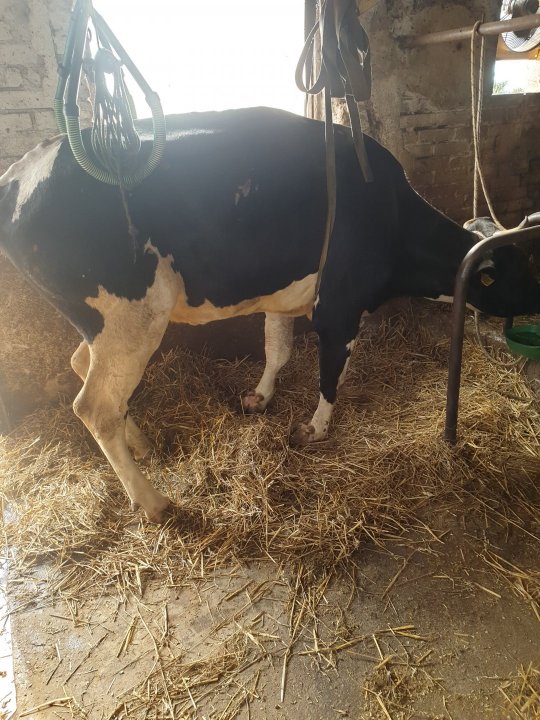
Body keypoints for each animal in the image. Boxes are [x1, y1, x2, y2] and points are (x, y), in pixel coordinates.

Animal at [1, 107, 540, 522]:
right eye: (520, 273)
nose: (537, 302)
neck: (390, 215)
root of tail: (23, 170)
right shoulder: (340, 303)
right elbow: (330, 372)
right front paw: (314, 428)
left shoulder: (282, 298)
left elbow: (277, 351)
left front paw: (259, 399)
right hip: (130, 317)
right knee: (96, 406)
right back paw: (155, 503)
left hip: (104, 322)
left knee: (84, 371)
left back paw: (144, 446)